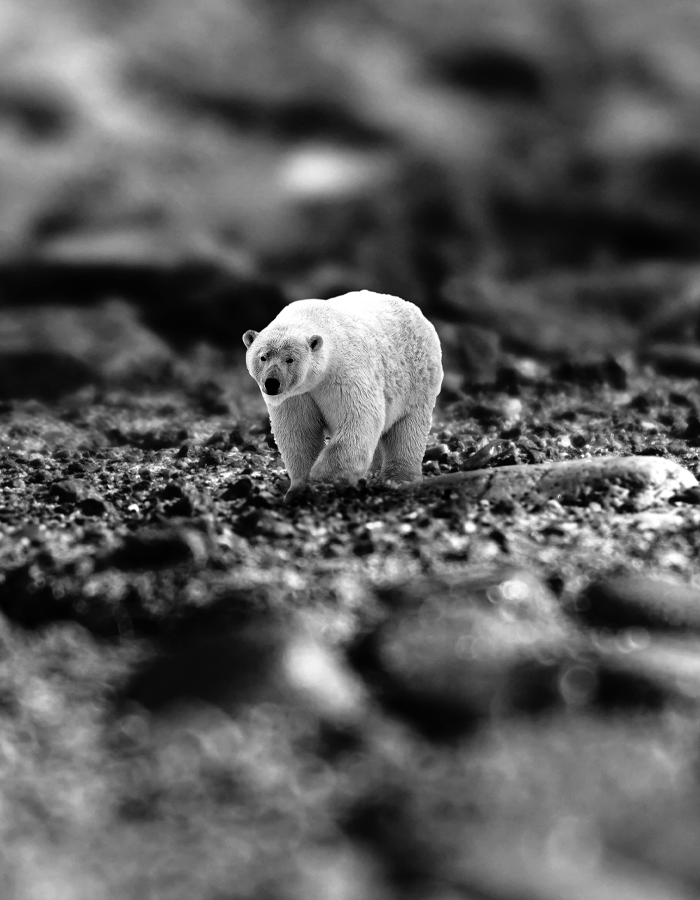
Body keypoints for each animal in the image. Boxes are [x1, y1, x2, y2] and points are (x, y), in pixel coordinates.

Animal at [243, 290, 443, 499]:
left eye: (290, 359)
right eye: (263, 357)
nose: (272, 383)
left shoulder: (343, 373)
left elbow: (358, 418)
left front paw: (324, 477)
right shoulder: (296, 396)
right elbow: (299, 432)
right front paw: (300, 488)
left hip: (417, 380)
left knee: (407, 429)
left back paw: (397, 479)